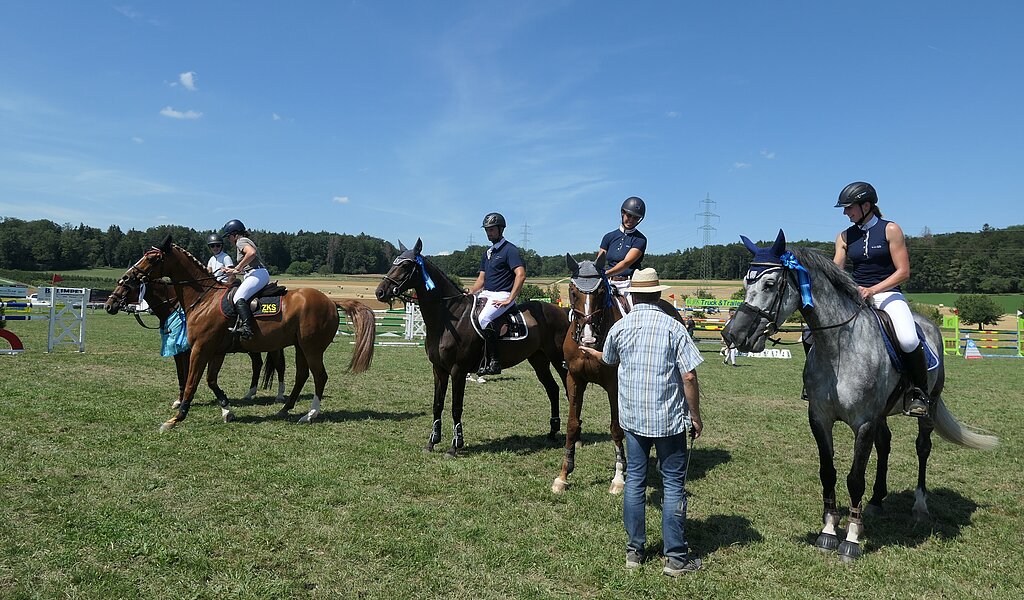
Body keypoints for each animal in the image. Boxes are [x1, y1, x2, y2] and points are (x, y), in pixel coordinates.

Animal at [103, 278, 286, 409]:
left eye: (126, 286)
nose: (108, 305)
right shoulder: (183, 352)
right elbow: (182, 375)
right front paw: (180, 400)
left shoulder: (188, 351)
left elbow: (184, 374)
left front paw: (182, 400)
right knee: (257, 364)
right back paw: (250, 393)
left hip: (273, 346)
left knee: (279, 366)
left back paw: (279, 395)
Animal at [374, 237, 573, 452]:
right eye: (394, 262)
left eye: (406, 265)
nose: (380, 292)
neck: (449, 318)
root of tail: (562, 312)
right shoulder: (438, 369)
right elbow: (437, 405)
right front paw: (432, 441)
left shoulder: (458, 370)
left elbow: (456, 407)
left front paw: (455, 445)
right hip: (538, 359)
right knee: (553, 389)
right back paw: (552, 432)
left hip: (558, 359)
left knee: (568, 389)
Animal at [552, 251, 688, 491]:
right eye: (573, 292)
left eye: (600, 292)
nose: (588, 338)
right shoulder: (574, 379)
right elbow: (572, 425)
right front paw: (563, 475)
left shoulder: (614, 385)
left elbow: (616, 427)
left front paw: (618, 477)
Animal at [720, 229, 999, 561]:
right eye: (746, 283)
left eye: (770, 284)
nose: (732, 335)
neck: (838, 348)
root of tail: (928, 325)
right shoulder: (820, 418)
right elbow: (828, 472)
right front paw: (829, 531)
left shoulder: (863, 422)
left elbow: (854, 477)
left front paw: (852, 539)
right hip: (883, 413)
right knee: (885, 444)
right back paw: (877, 502)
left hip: (926, 408)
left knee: (922, 448)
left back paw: (919, 507)